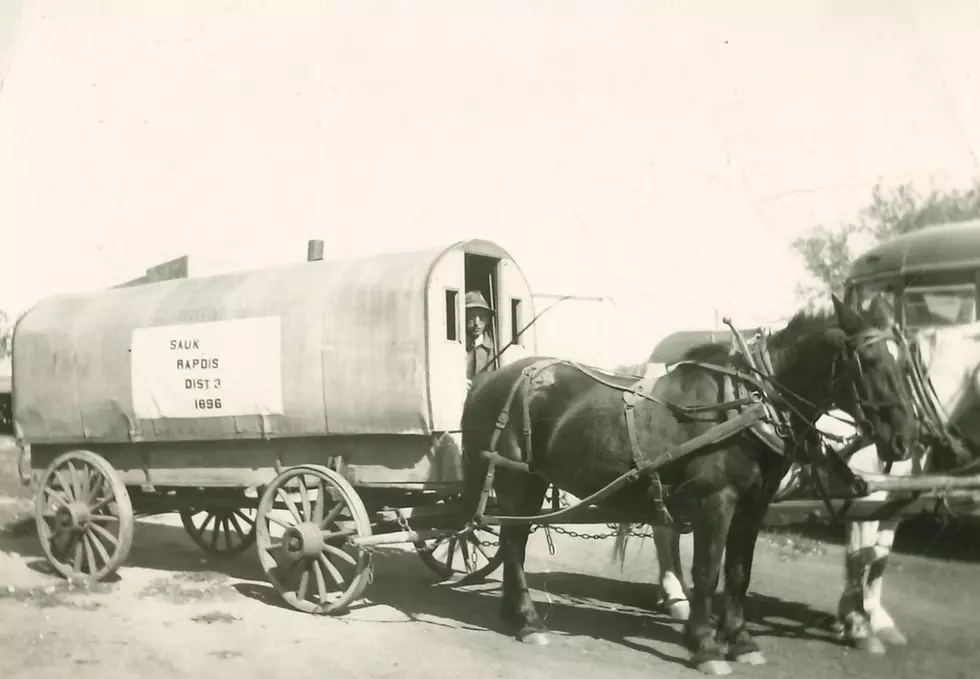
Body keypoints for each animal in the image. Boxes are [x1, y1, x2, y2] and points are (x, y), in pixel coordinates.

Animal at [460, 300, 920, 676]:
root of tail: (487, 380)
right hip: (516, 478)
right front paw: (705, 646)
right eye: (871, 360)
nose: (904, 440)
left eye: (906, 364)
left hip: (531, 482)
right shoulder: (716, 503)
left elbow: (738, 574)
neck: (747, 404)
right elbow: (707, 571)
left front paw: (741, 640)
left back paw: (514, 613)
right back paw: (528, 620)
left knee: (515, 541)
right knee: (513, 541)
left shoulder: (753, 506)